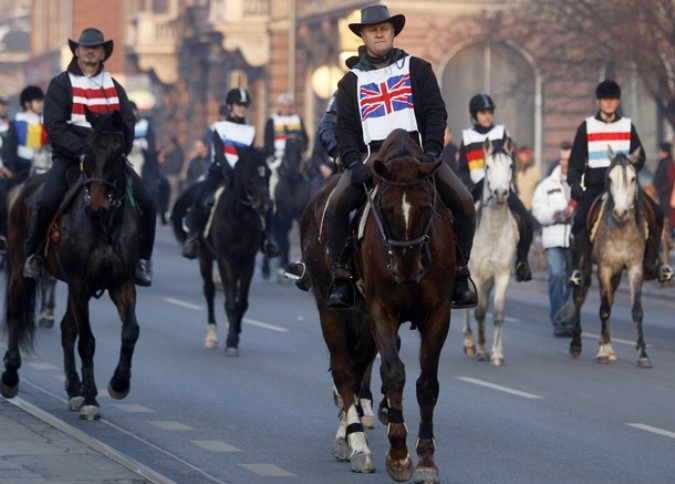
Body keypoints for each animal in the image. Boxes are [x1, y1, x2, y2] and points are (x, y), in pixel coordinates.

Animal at [1, 110, 141, 420]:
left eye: (118, 152)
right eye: (87, 149)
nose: (97, 205)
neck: (104, 226)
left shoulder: (120, 283)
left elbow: (130, 331)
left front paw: (119, 383)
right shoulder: (79, 283)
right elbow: (87, 342)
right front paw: (91, 398)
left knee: (67, 329)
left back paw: (73, 388)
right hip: (19, 266)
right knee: (15, 311)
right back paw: (11, 376)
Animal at [302, 127, 456, 480]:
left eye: (427, 204)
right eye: (383, 206)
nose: (406, 267)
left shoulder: (438, 313)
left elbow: (427, 384)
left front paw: (426, 460)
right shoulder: (380, 311)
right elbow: (393, 373)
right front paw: (398, 455)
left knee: (356, 364)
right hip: (329, 307)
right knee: (344, 369)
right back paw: (356, 444)